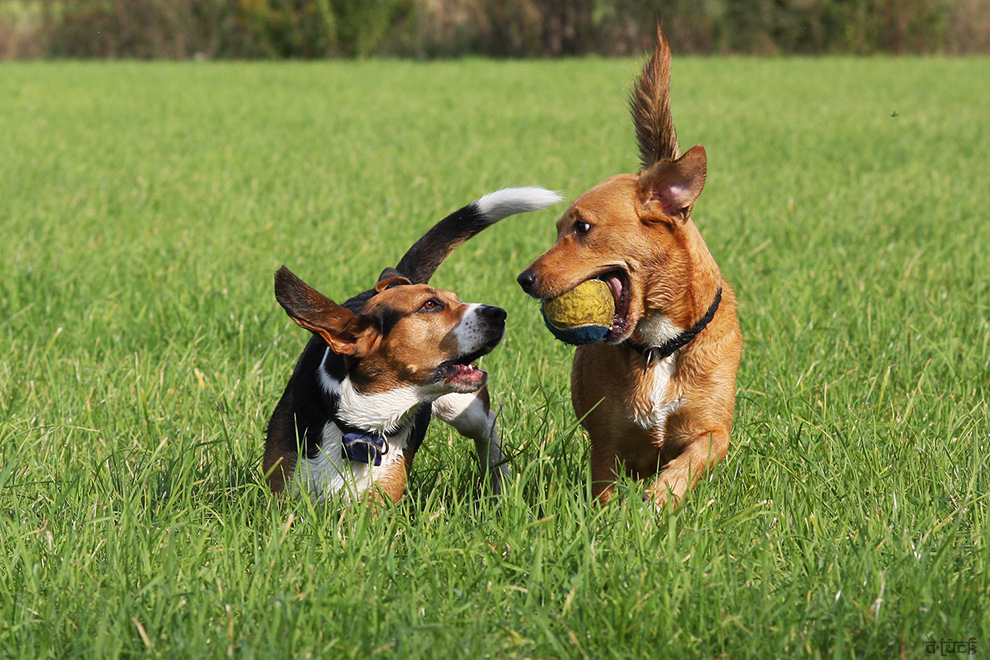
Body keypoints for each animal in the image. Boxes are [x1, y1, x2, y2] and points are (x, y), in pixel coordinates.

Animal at [520, 28, 744, 508]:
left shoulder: (712, 430)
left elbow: (689, 463)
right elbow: (604, 492)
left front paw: (660, 499)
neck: (659, 345)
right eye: (557, 229)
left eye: (582, 227)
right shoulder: (608, 443)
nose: (523, 279)